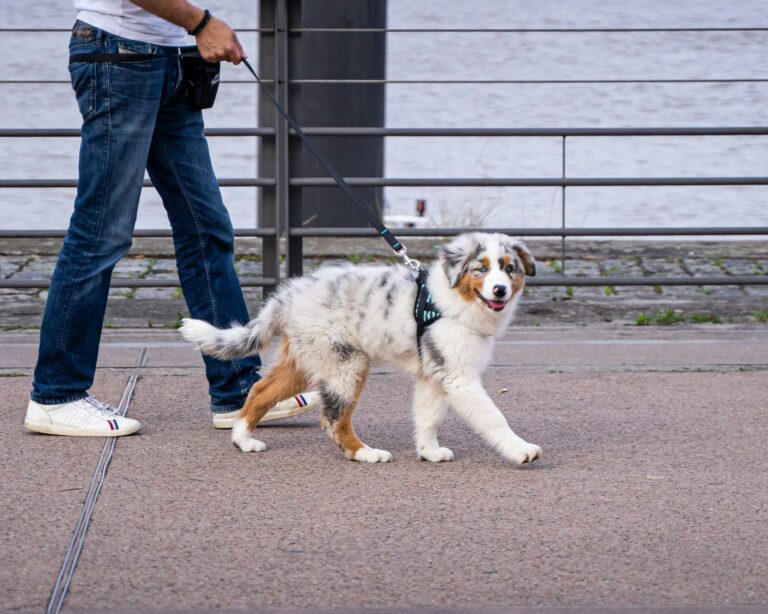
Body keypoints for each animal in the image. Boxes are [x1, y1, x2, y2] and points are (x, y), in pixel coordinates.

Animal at [179, 233, 540, 464]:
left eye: (510, 268)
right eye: (481, 268)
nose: (500, 290)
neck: (454, 300)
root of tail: (287, 296)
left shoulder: (434, 373)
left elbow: (428, 416)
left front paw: (429, 451)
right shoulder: (459, 377)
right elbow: (493, 418)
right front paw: (520, 450)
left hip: (308, 359)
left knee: (259, 391)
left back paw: (242, 438)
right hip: (346, 364)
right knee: (333, 420)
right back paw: (366, 453)